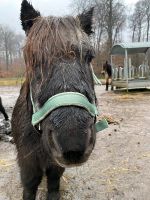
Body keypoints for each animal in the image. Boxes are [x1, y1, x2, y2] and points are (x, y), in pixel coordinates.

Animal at [12, 0, 97, 199]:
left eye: (90, 57)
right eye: (33, 58)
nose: (73, 142)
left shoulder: (55, 166)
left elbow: (53, 184)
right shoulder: (27, 164)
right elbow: (29, 187)